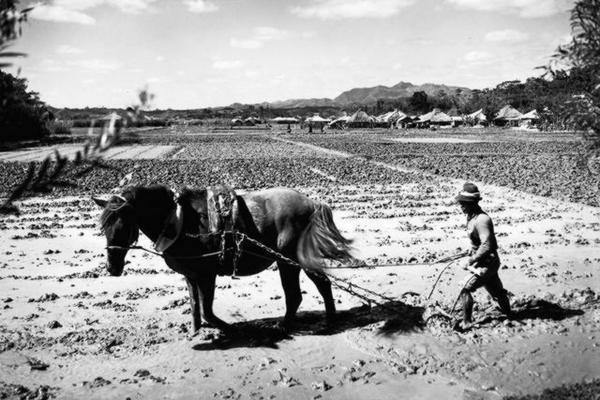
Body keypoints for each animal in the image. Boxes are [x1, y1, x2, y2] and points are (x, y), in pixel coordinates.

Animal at [92, 184, 354, 332]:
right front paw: (195, 330)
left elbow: (207, 308)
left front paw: (227, 328)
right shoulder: (191, 275)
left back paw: (307, 322)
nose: (111, 267)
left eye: (123, 225)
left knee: (307, 290)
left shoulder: (207, 274)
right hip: (289, 262)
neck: (179, 220)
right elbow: (195, 305)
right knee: (308, 290)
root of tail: (312, 203)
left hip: (290, 261)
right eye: (104, 226)